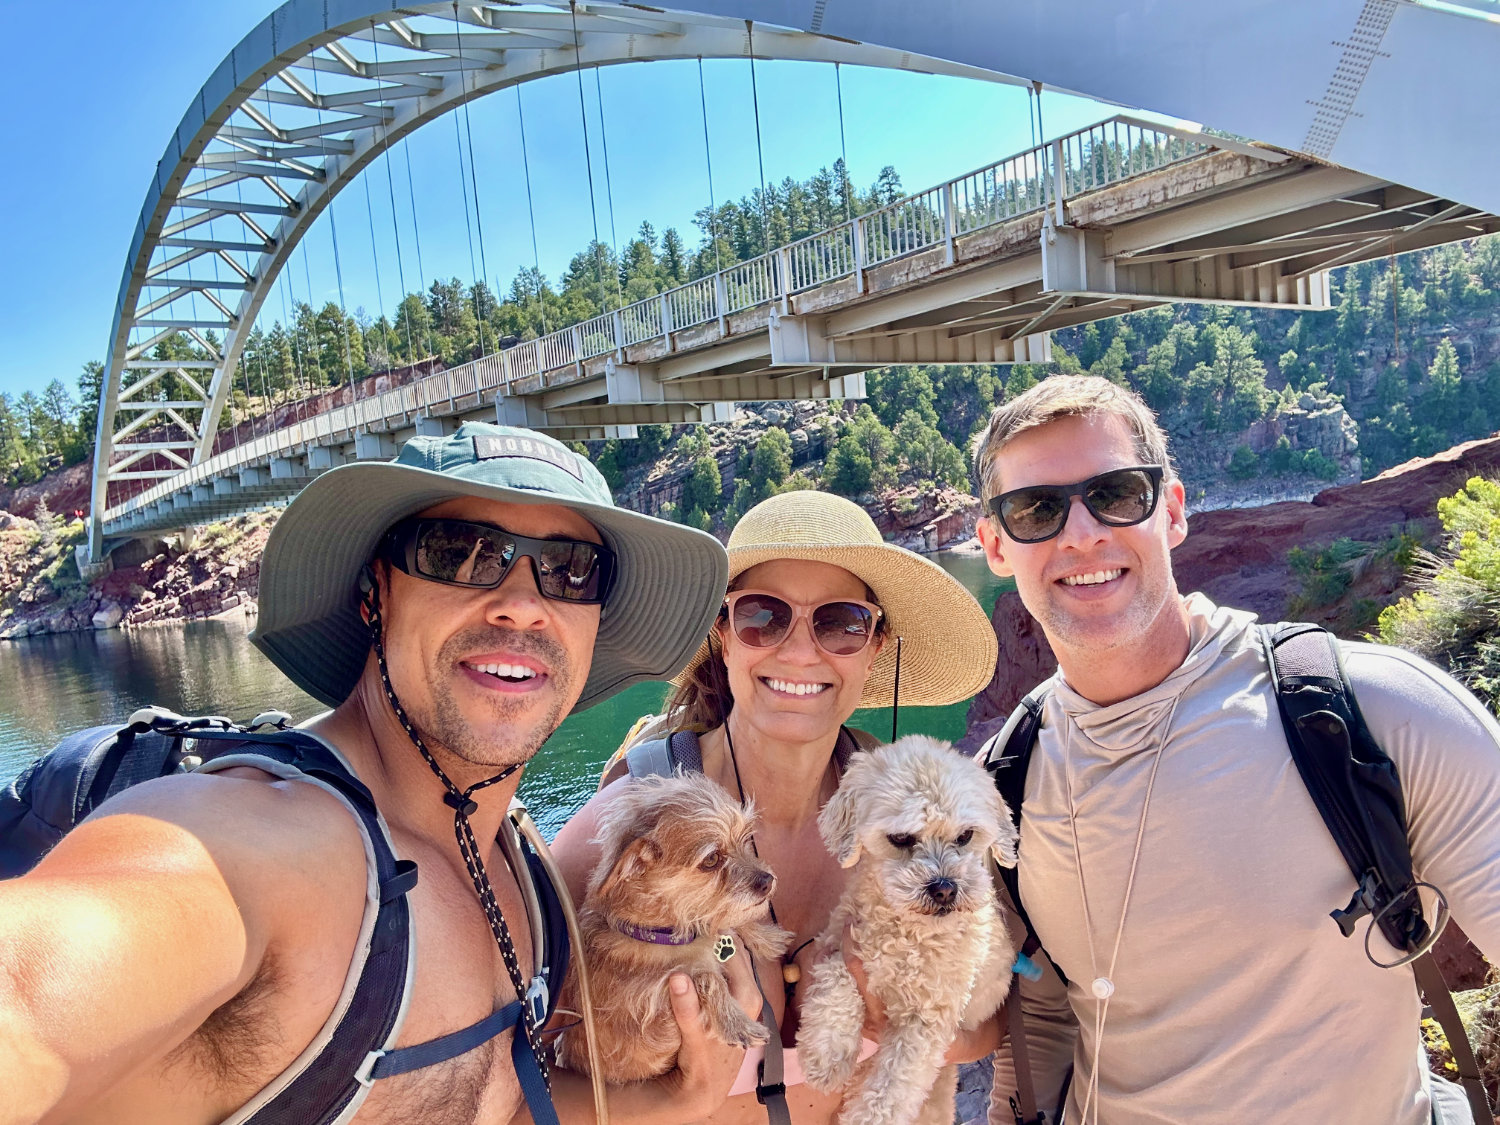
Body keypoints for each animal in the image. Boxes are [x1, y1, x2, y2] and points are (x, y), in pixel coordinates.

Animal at [558, 774, 792, 1086]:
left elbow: (725, 920)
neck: (662, 933)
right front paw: (736, 1023)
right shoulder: (650, 1012)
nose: (768, 881)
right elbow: (706, 976)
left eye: (745, 837)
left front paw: (767, 938)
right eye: (711, 859)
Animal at [798, 741, 1020, 1125]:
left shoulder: (927, 1020)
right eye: (900, 838)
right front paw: (826, 1054)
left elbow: (893, 1084)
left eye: (965, 835)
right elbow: (835, 978)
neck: (907, 934)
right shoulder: (838, 943)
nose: (945, 889)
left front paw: (868, 1117)